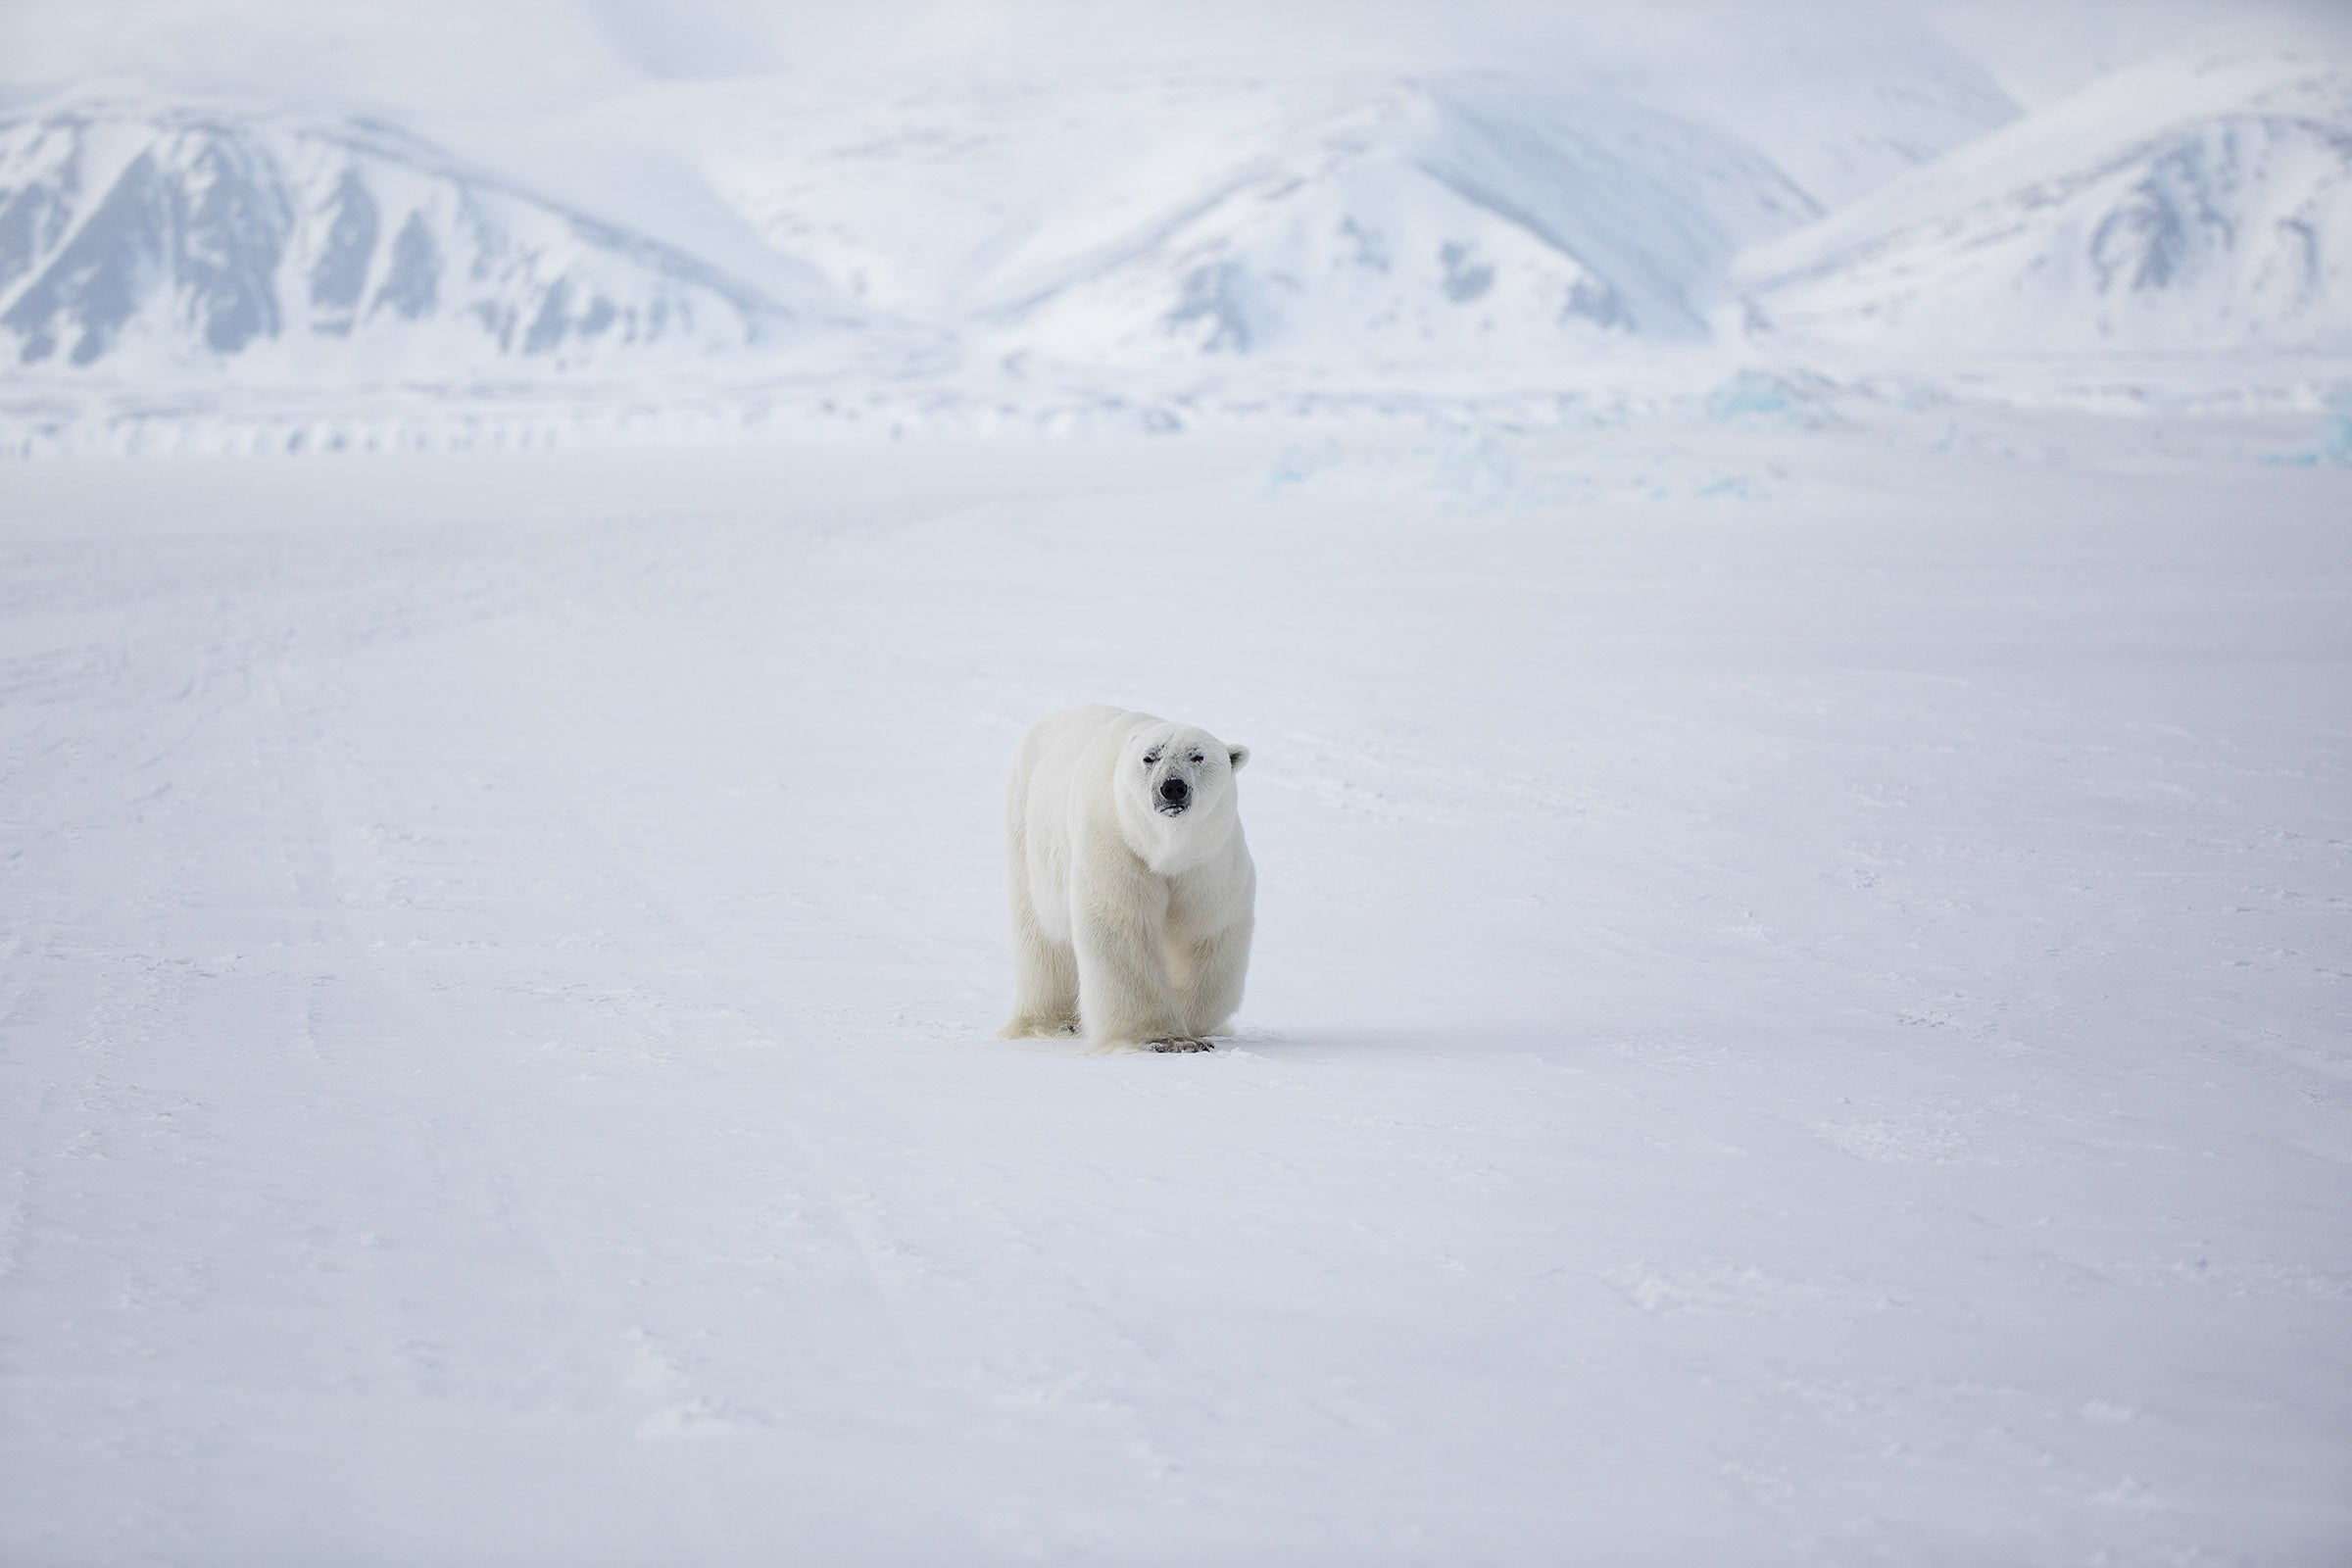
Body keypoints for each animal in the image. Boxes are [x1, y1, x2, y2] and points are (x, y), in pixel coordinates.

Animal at [998, 705, 1256, 1053]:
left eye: (1197, 756)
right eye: (1150, 757)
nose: (1172, 787)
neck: (1162, 848)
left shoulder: (1208, 861)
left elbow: (1204, 930)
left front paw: (1195, 1027)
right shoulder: (1117, 843)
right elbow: (1123, 925)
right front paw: (1165, 1038)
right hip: (1026, 827)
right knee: (1041, 936)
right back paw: (1052, 1022)